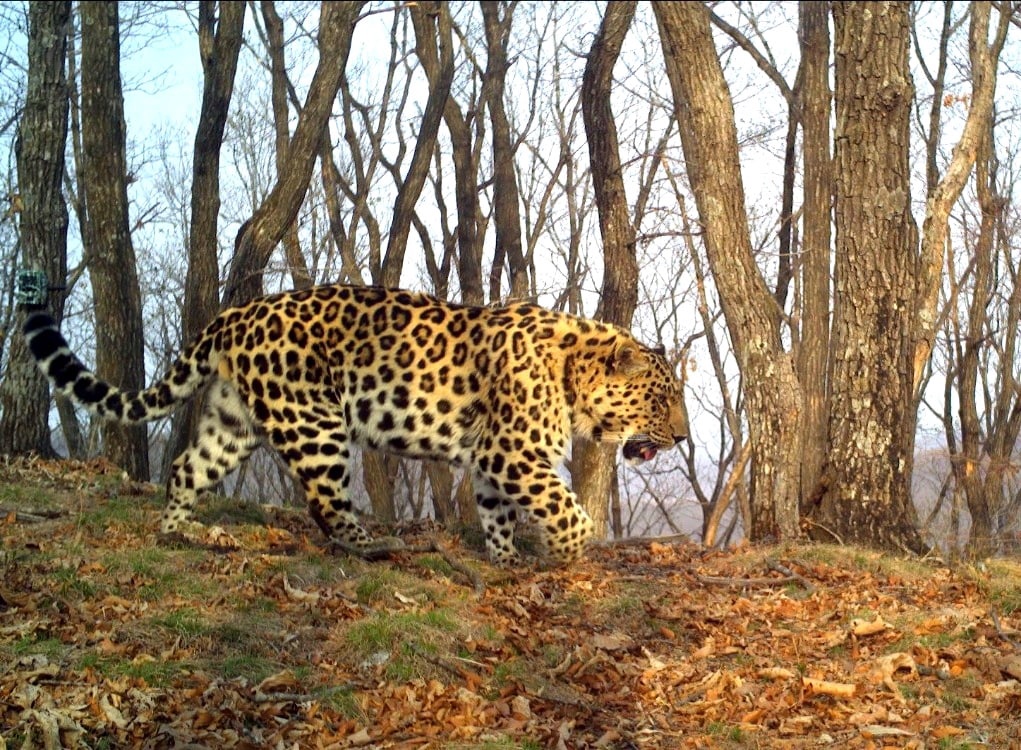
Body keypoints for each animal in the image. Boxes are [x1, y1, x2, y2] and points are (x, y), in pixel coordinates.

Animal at [23, 284, 688, 563]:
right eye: (662, 401)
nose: (683, 436)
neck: (572, 374)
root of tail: (237, 313)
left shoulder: (493, 460)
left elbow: (497, 512)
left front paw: (507, 559)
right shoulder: (513, 453)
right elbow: (566, 509)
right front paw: (569, 550)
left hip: (233, 420)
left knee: (188, 466)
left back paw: (181, 533)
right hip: (315, 422)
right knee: (326, 503)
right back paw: (376, 544)